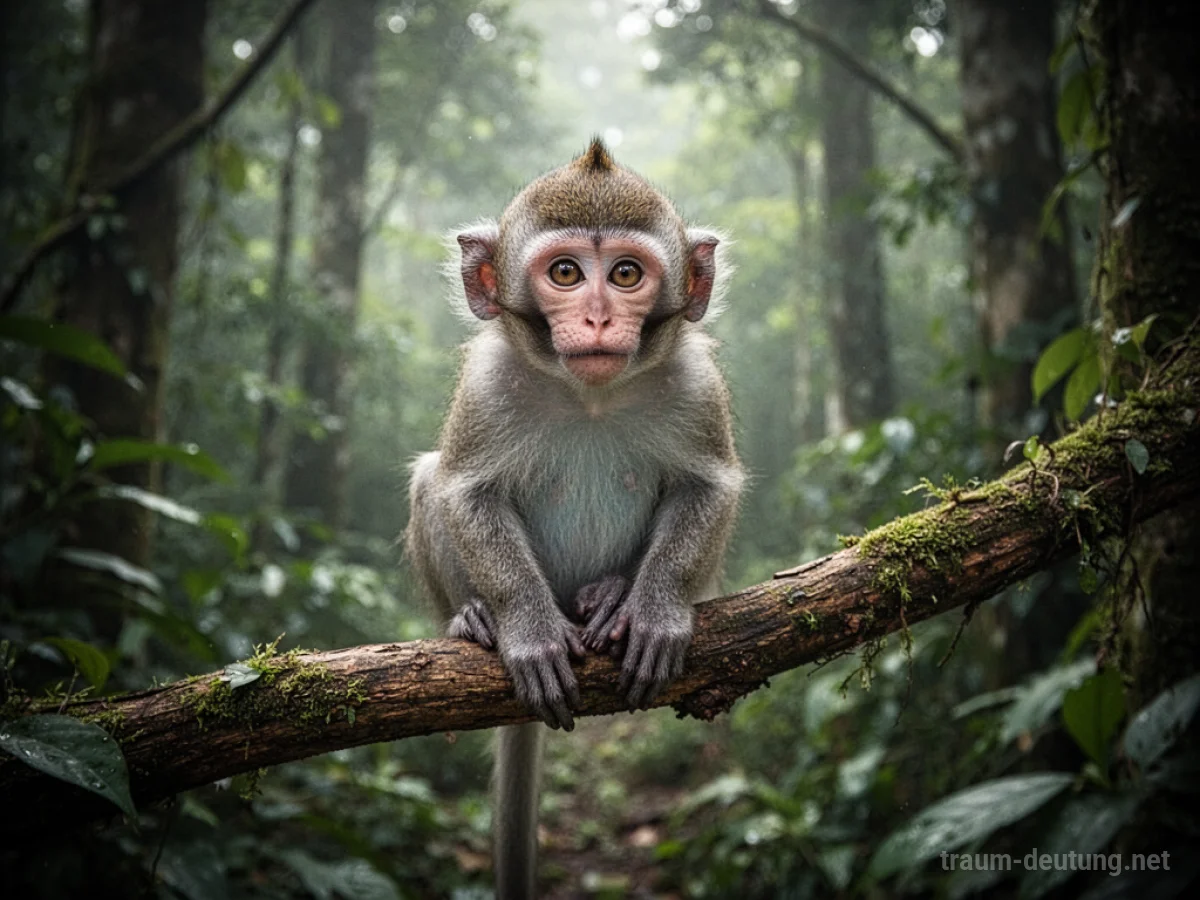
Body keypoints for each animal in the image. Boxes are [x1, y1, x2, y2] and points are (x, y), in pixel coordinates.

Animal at [405, 138, 743, 899]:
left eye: (625, 274)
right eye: (565, 273)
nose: (595, 319)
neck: (590, 395)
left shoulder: (698, 385)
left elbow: (710, 486)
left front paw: (656, 610)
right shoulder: (487, 386)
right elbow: (463, 490)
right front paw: (525, 630)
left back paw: (612, 596)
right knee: (429, 479)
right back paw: (473, 616)